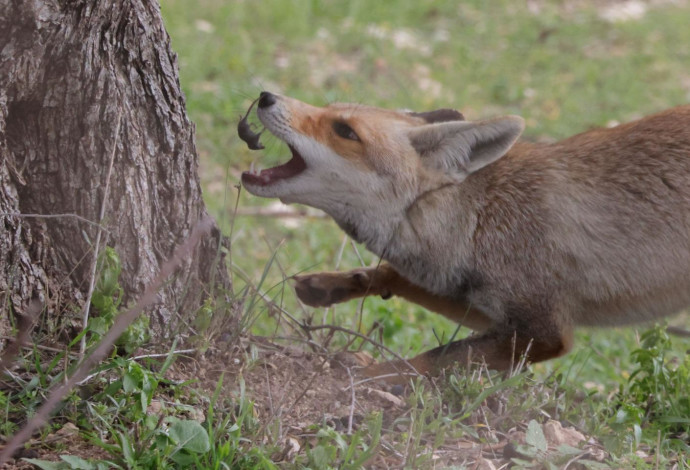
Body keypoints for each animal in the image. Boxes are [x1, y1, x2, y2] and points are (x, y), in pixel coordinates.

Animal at [241, 92, 688, 382]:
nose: (265, 95)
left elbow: (431, 358)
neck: (480, 220)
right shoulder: (485, 305)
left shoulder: (544, 331)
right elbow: (395, 277)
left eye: (345, 131)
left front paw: (369, 377)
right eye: (329, 109)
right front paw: (331, 285)